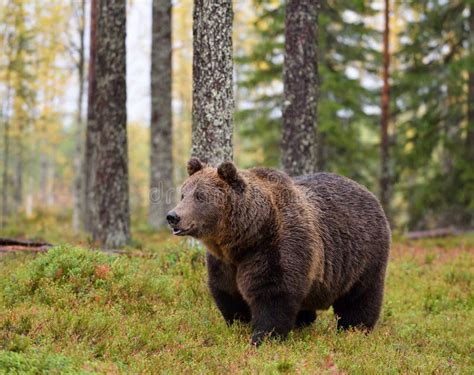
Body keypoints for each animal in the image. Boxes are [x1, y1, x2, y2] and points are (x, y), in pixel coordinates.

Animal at [168, 159, 390, 346]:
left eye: (200, 196)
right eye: (183, 193)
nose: (173, 216)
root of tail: (369, 193)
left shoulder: (276, 248)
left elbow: (273, 294)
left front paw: (263, 338)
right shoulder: (224, 262)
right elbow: (227, 292)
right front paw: (239, 326)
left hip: (362, 256)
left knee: (360, 297)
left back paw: (354, 330)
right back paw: (304, 322)